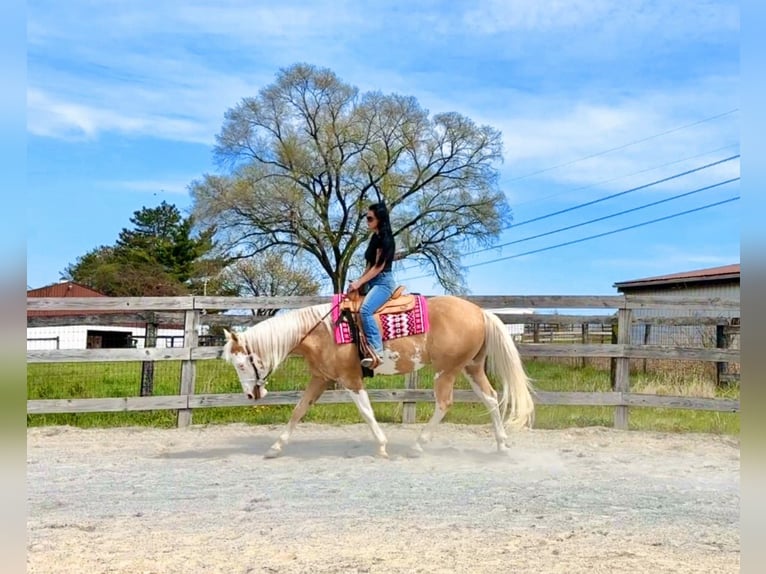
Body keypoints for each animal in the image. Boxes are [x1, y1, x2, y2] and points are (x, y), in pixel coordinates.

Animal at [222, 294, 535, 458]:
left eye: (241, 365)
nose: (250, 395)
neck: (321, 332)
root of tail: (480, 312)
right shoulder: (320, 379)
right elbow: (298, 410)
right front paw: (275, 447)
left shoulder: (351, 379)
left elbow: (366, 412)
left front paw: (382, 446)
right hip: (471, 367)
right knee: (490, 398)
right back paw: (501, 445)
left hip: (447, 370)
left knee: (445, 403)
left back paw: (418, 446)